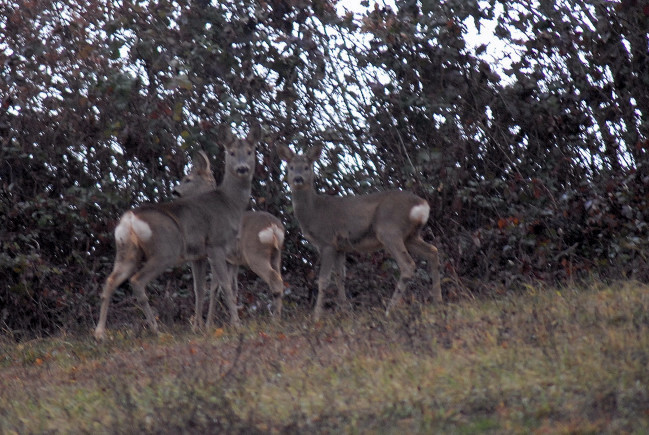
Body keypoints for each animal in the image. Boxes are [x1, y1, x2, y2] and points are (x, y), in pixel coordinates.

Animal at [94, 126, 260, 340]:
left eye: (250, 151)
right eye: (231, 153)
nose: (242, 169)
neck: (230, 203)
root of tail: (129, 219)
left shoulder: (198, 255)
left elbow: (200, 288)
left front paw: (199, 327)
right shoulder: (215, 244)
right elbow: (225, 285)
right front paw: (236, 325)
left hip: (127, 250)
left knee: (110, 281)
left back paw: (100, 333)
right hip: (165, 250)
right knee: (137, 281)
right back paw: (156, 330)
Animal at [276, 145, 442, 322]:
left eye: (307, 167)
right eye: (290, 167)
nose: (298, 179)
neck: (313, 212)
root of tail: (422, 205)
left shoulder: (327, 242)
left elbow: (323, 280)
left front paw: (316, 317)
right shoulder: (340, 247)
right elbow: (340, 278)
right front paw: (345, 312)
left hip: (389, 230)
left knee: (408, 265)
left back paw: (389, 310)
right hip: (410, 236)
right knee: (432, 251)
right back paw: (438, 302)